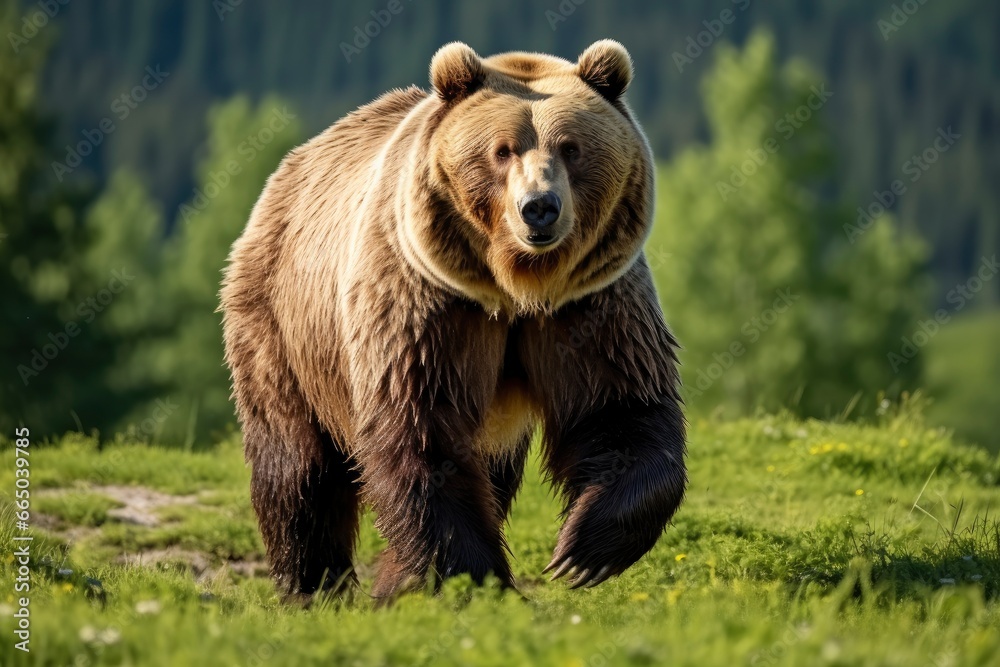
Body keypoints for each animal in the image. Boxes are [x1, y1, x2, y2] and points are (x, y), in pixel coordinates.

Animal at [220, 39, 688, 600]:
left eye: (571, 147)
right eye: (502, 150)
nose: (539, 208)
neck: (518, 286)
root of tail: (285, 174)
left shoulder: (590, 302)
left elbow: (619, 407)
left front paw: (582, 553)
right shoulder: (429, 304)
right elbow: (423, 431)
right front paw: (477, 579)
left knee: (492, 472)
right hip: (282, 322)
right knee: (298, 462)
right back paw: (310, 582)